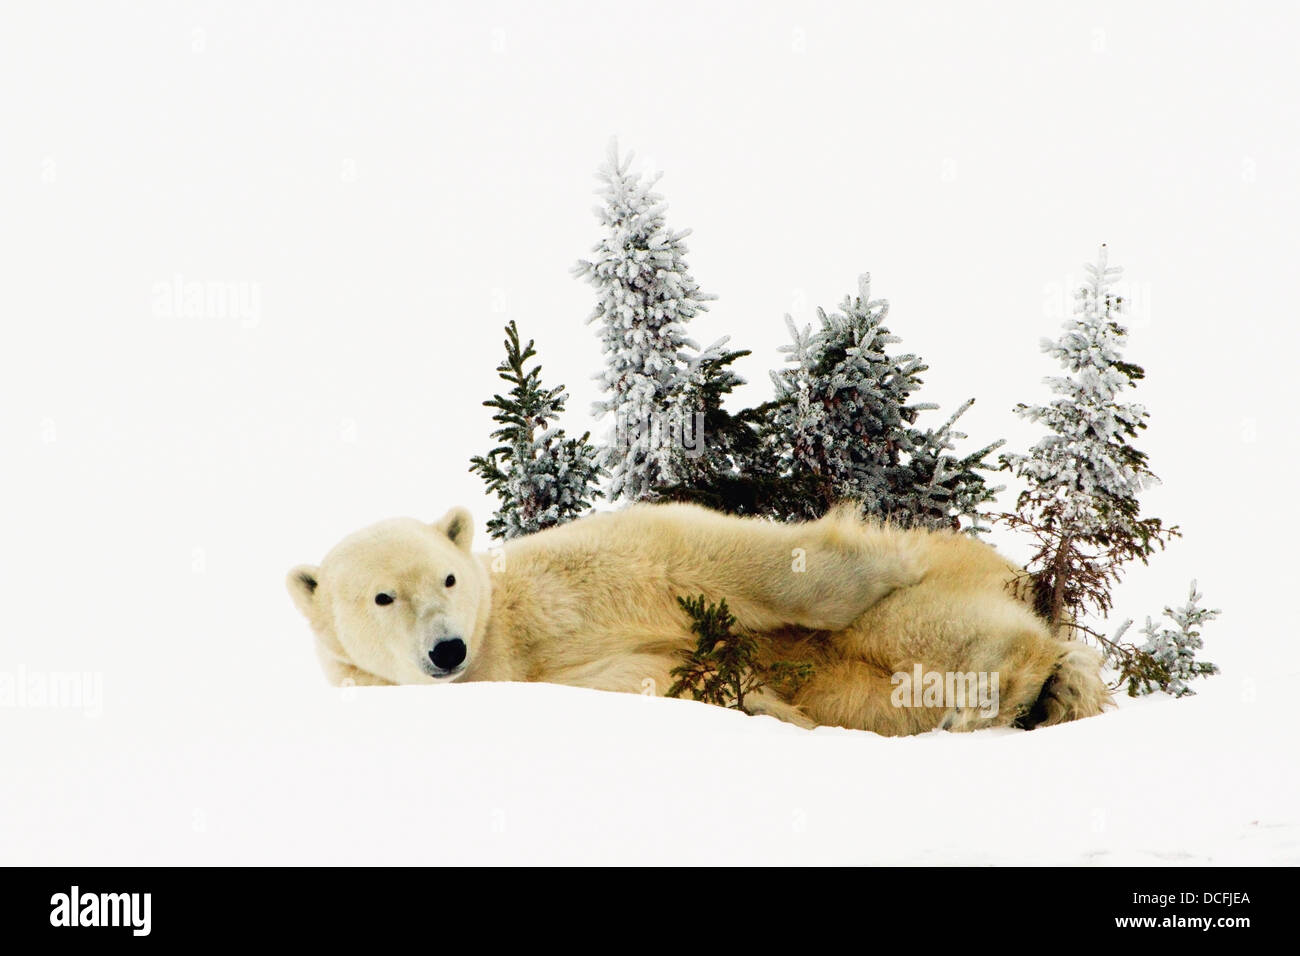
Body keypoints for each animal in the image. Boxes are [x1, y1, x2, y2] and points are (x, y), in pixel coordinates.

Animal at [289, 504, 1112, 738]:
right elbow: (666, 678)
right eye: (382, 598)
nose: (449, 648)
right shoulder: (570, 678)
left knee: (910, 627)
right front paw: (763, 708)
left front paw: (881, 562)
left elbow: (686, 551)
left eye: (449, 576)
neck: (509, 644)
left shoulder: (569, 576)